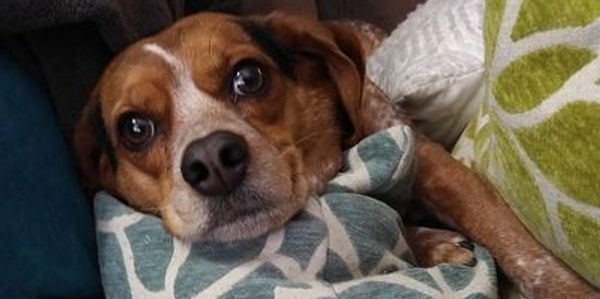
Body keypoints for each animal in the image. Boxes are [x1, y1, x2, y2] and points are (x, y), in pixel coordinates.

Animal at [75, 12, 600, 299]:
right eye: (135, 128)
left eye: (249, 77)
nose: (212, 160)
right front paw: (428, 242)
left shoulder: (433, 165)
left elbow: (524, 252)